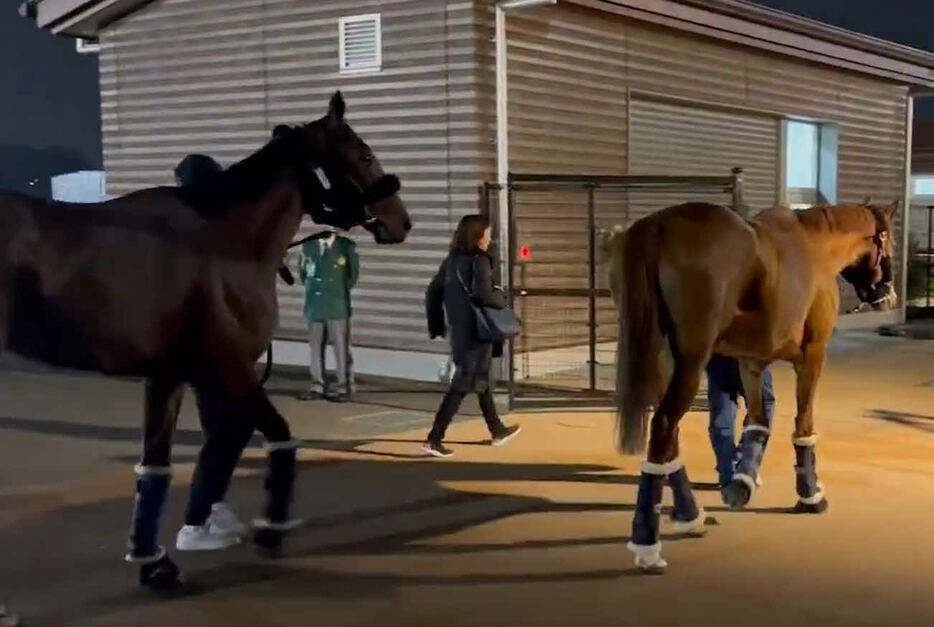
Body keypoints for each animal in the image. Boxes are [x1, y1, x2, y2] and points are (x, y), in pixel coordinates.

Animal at [0, 91, 410, 588]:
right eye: (364, 154)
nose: (401, 220)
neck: (223, 242)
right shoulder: (228, 367)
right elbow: (279, 434)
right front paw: (270, 531)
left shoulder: (168, 375)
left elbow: (155, 464)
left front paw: (154, 563)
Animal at [604, 201, 904, 576]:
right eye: (889, 242)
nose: (887, 295)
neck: (815, 245)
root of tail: (658, 225)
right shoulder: (812, 356)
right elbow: (803, 427)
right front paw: (811, 496)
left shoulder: (751, 363)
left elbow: (758, 424)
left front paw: (741, 483)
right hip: (690, 362)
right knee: (663, 428)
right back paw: (648, 546)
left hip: (662, 361)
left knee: (669, 437)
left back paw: (690, 516)